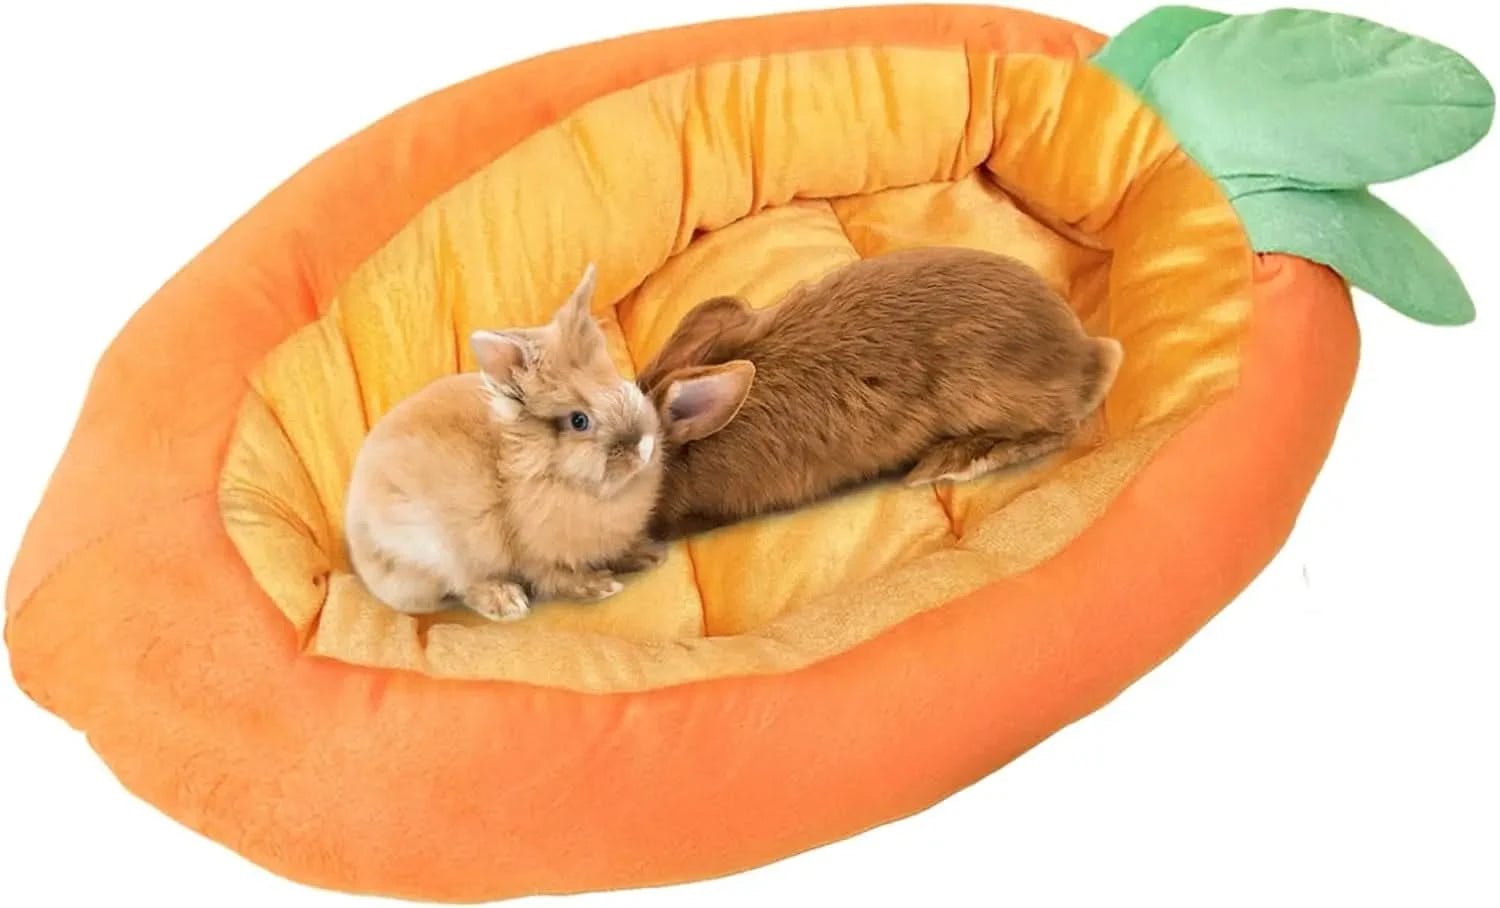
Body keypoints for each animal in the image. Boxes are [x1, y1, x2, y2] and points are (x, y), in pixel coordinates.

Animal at [344, 263, 666, 622]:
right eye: (579, 420)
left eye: (616, 377)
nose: (644, 447)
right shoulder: (535, 554)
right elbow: (558, 577)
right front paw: (601, 586)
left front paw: (648, 554)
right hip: (434, 550)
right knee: (464, 586)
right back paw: (507, 602)